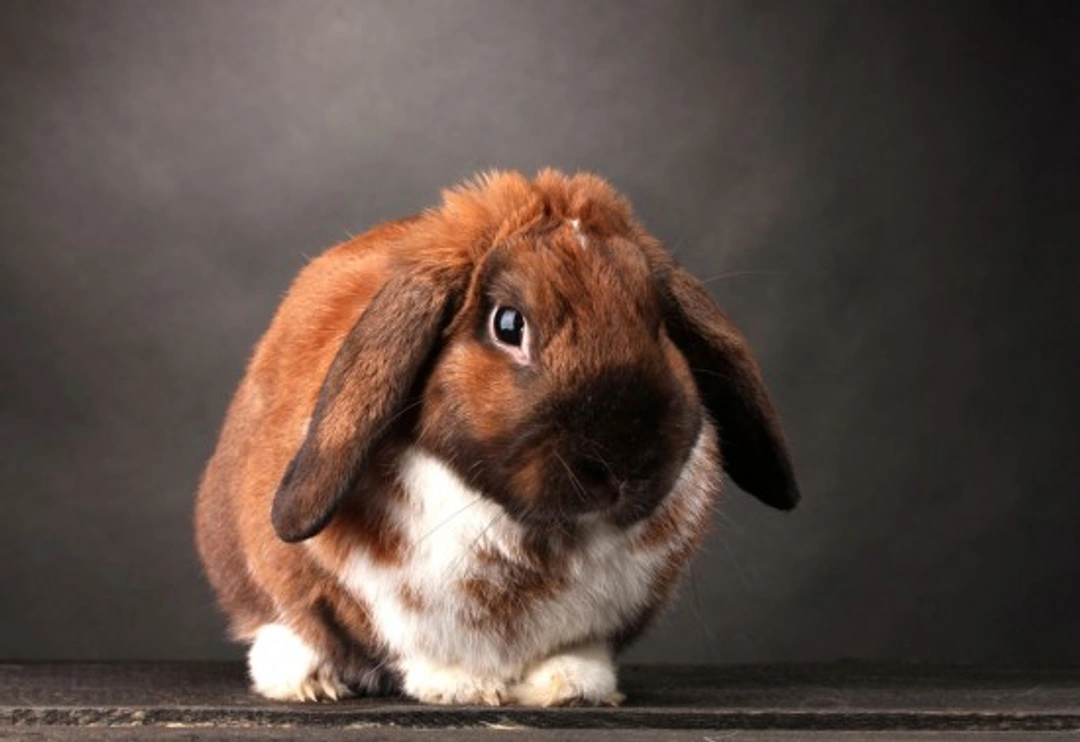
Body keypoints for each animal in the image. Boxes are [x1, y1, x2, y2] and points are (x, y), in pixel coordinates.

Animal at [194, 169, 799, 707]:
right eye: (509, 325)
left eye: (660, 325)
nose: (624, 466)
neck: (538, 538)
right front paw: (465, 688)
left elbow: (577, 650)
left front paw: (569, 687)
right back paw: (310, 682)